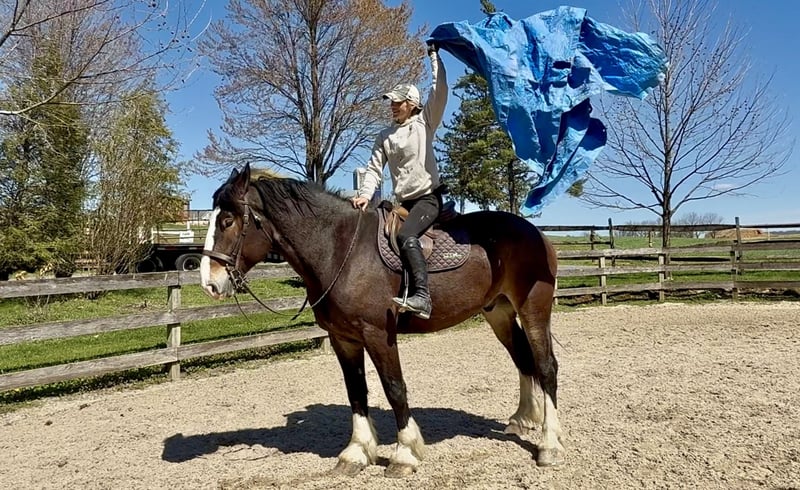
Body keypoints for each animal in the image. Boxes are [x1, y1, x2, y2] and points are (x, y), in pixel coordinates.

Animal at [199, 163, 565, 477]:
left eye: (228, 221)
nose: (209, 283)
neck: (339, 251)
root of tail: (534, 232)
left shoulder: (378, 334)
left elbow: (394, 388)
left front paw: (405, 453)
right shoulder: (343, 339)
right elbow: (356, 392)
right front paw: (356, 453)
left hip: (533, 308)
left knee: (546, 366)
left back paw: (549, 445)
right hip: (499, 312)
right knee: (522, 360)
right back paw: (522, 419)